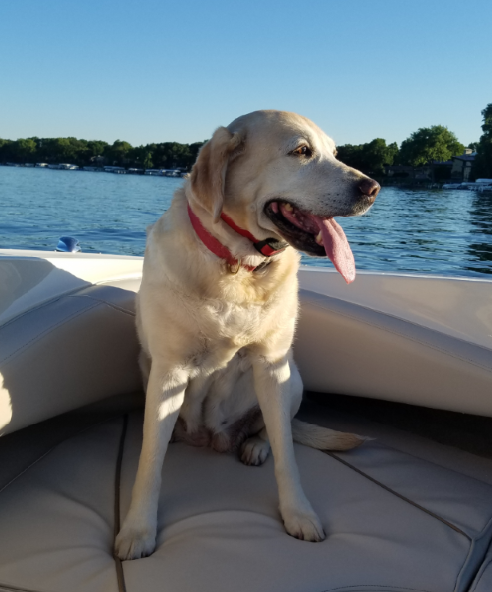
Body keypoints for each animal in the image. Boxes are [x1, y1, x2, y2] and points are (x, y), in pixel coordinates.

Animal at [115, 110, 380, 560]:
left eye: (335, 152)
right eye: (301, 151)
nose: (373, 189)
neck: (239, 265)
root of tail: (214, 438)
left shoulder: (272, 365)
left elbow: (287, 454)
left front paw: (298, 513)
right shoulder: (168, 372)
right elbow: (150, 461)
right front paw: (138, 529)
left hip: (292, 378)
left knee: (276, 428)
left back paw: (254, 444)